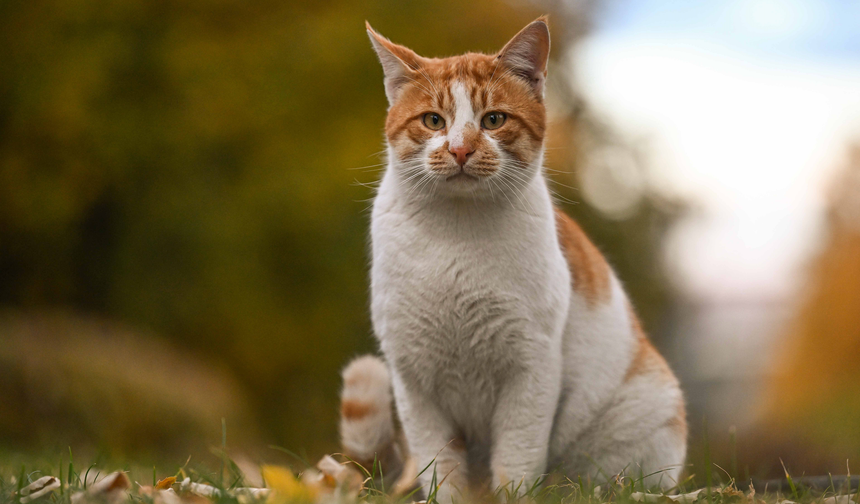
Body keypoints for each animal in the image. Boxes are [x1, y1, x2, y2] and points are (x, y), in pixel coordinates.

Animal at [340, 17, 688, 502]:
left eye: (493, 120)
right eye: (433, 121)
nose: (460, 149)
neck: (456, 235)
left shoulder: (531, 368)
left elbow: (517, 458)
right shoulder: (414, 379)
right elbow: (440, 465)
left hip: (644, 412)